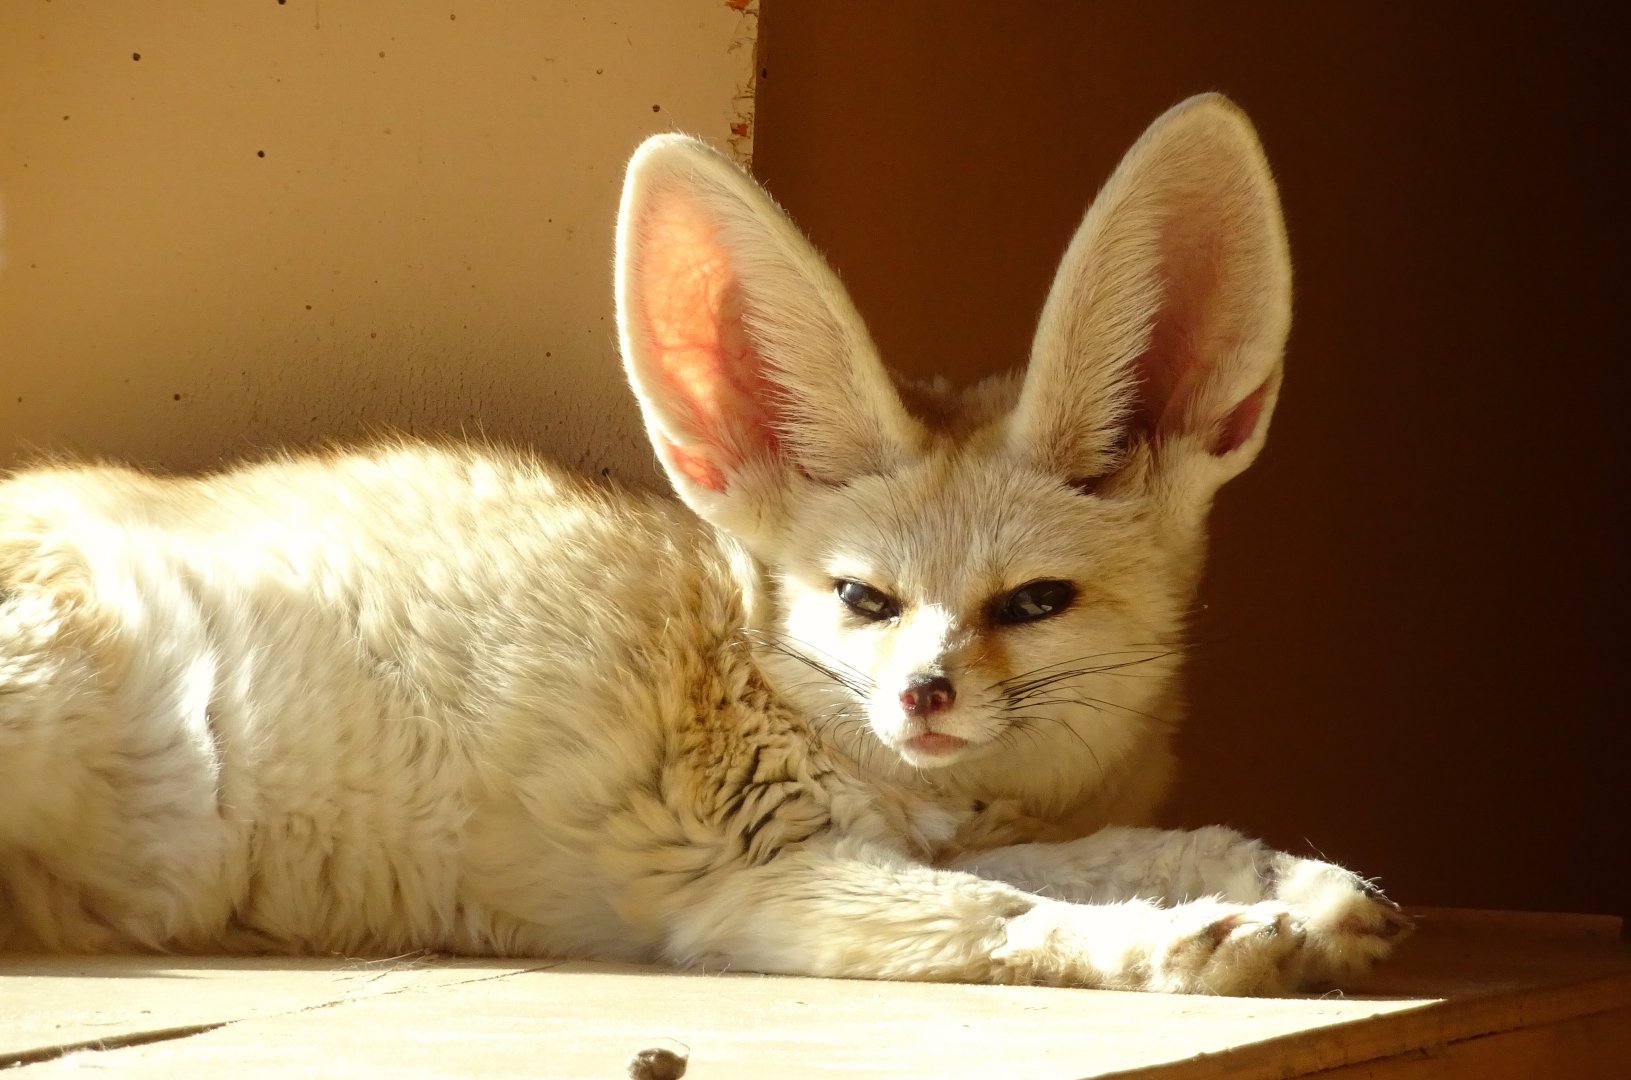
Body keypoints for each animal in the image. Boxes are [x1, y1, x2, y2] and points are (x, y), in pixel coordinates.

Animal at [0, 94, 1408, 994]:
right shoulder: (756, 885)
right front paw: (1184, 940)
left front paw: (1291, 881)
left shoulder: (904, 831)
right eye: (861, 598)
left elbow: (1109, 856)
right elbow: (1012, 912)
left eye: (1032, 603)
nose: (924, 696)